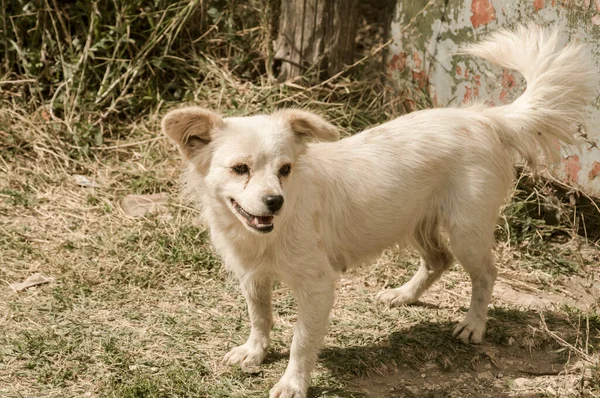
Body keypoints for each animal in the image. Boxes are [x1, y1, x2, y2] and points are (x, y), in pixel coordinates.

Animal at [162, 26, 592, 396]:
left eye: (285, 169)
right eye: (240, 169)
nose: (275, 202)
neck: (264, 234)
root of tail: (482, 117)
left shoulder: (317, 286)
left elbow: (302, 341)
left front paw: (293, 383)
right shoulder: (253, 277)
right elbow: (260, 317)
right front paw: (255, 352)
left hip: (465, 230)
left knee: (485, 272)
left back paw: (473, 325)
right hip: (416, 222)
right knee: (438, 259)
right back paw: (403, 295)